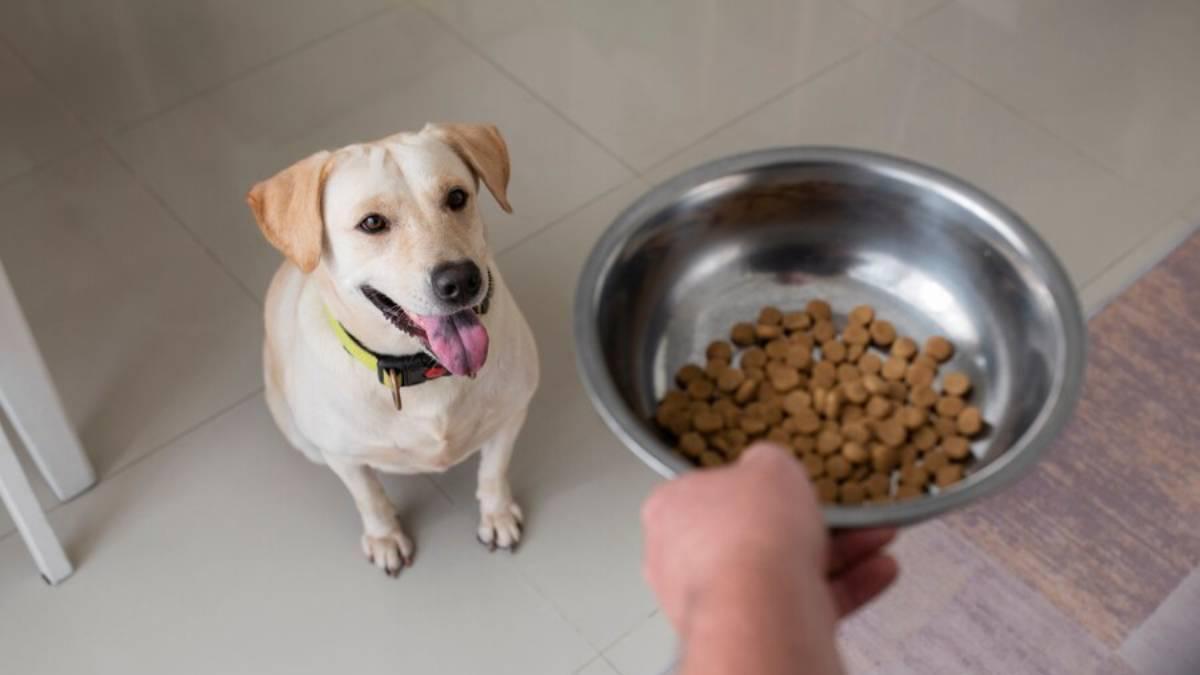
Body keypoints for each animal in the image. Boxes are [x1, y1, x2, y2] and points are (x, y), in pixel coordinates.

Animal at [246, 121, 537, 571]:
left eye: (457, 197)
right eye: (372, 223)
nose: (461, 280)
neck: (422, 370)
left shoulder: (511, 415)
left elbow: (493, 471)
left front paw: (497, 515)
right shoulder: (344, 457)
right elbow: (370, 498)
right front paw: (385, 538)